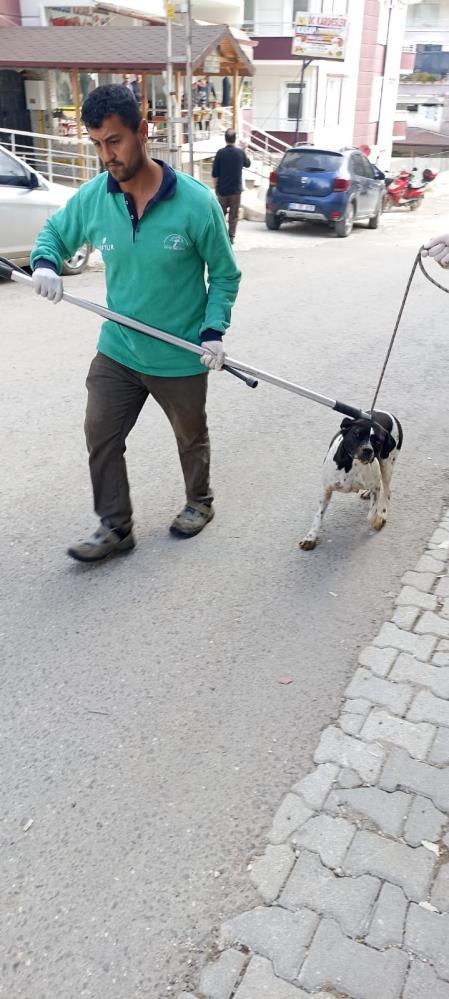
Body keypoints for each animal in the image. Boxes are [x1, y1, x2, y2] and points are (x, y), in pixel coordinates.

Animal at [300, 414, 400, 556]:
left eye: (377, 441)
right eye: (357, 434)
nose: (368, 450)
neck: (352, 464)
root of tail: (387, 413)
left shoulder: (375, 486)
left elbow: (371, 513)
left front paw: (376, 518)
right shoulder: (326, 489)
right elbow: (318, 515)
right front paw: (310, 537)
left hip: (387, 464)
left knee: (387, 491)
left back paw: (382, 512)